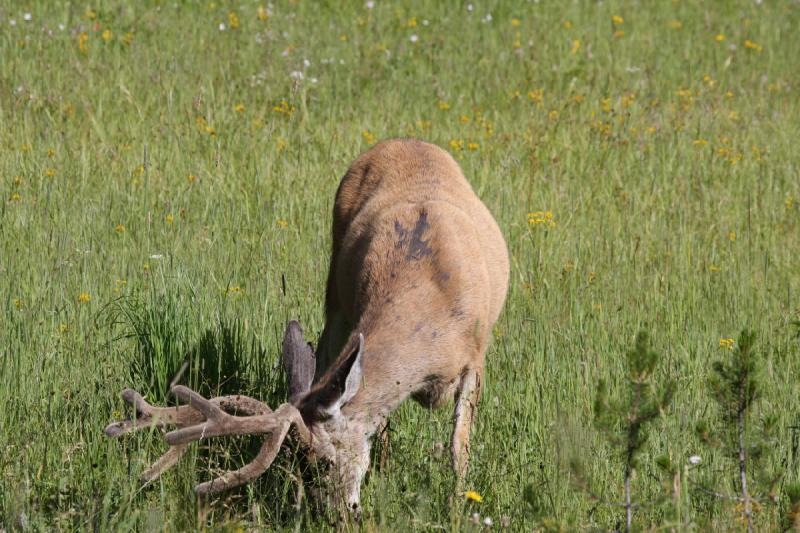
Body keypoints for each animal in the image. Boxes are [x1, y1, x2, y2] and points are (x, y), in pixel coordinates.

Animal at [106, 137, 510, 516]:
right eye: (303, 465)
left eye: (325, 462)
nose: (336, 515)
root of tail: (401, 140)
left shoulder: (476, 356)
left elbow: (459, 448)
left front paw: (456, 506)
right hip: (334, 294)